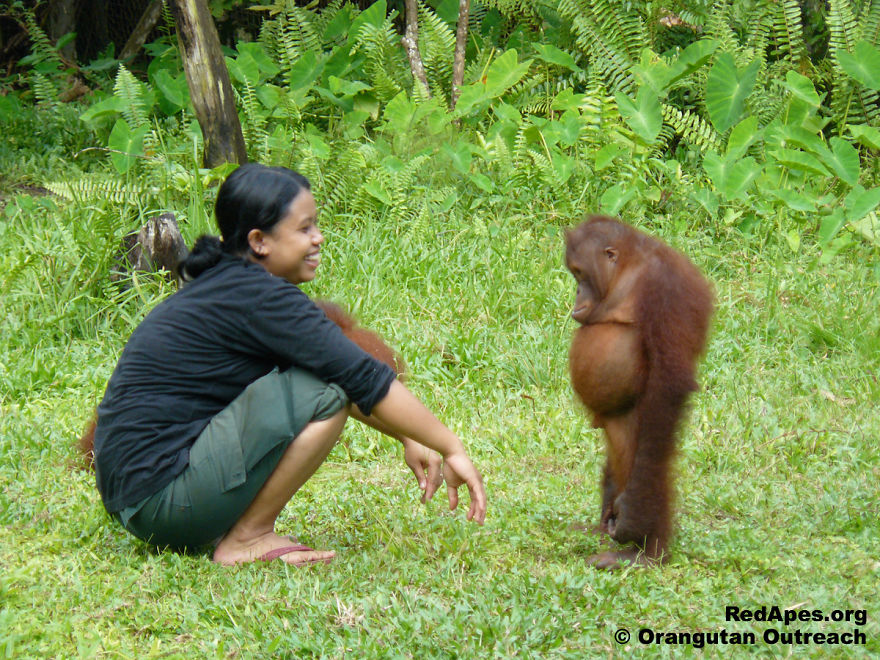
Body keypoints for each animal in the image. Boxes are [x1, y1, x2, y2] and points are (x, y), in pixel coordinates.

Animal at [565, 215, 713, 570]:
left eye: (580, 273)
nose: (576, 292)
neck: (628, 270)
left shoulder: (663, 289)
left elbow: (670, 380)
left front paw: (633, 520)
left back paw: (645, 551)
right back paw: (603, 527)